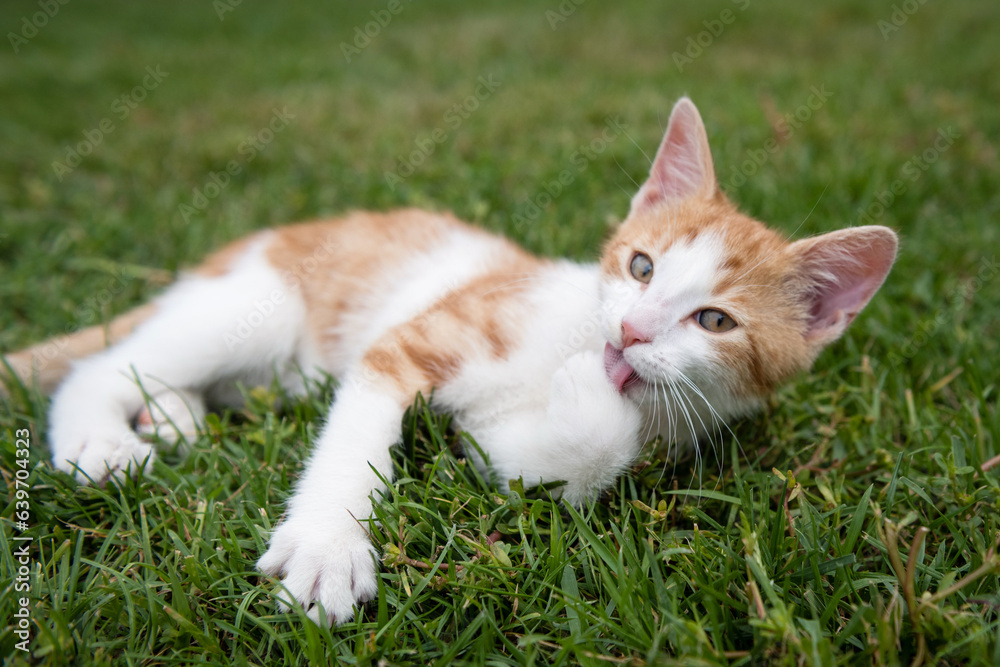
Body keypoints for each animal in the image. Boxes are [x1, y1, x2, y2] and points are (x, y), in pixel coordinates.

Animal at [1, 98, 900, 628]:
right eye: (641, 265)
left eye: (714, 319)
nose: (630, 330)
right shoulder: (411, 339)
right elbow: (357, 437)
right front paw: (329, 548)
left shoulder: (512, 437)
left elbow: (546, 463)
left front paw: (594, 400)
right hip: (255, 304)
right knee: (104, 363)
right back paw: (102, 438)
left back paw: (174, 415)